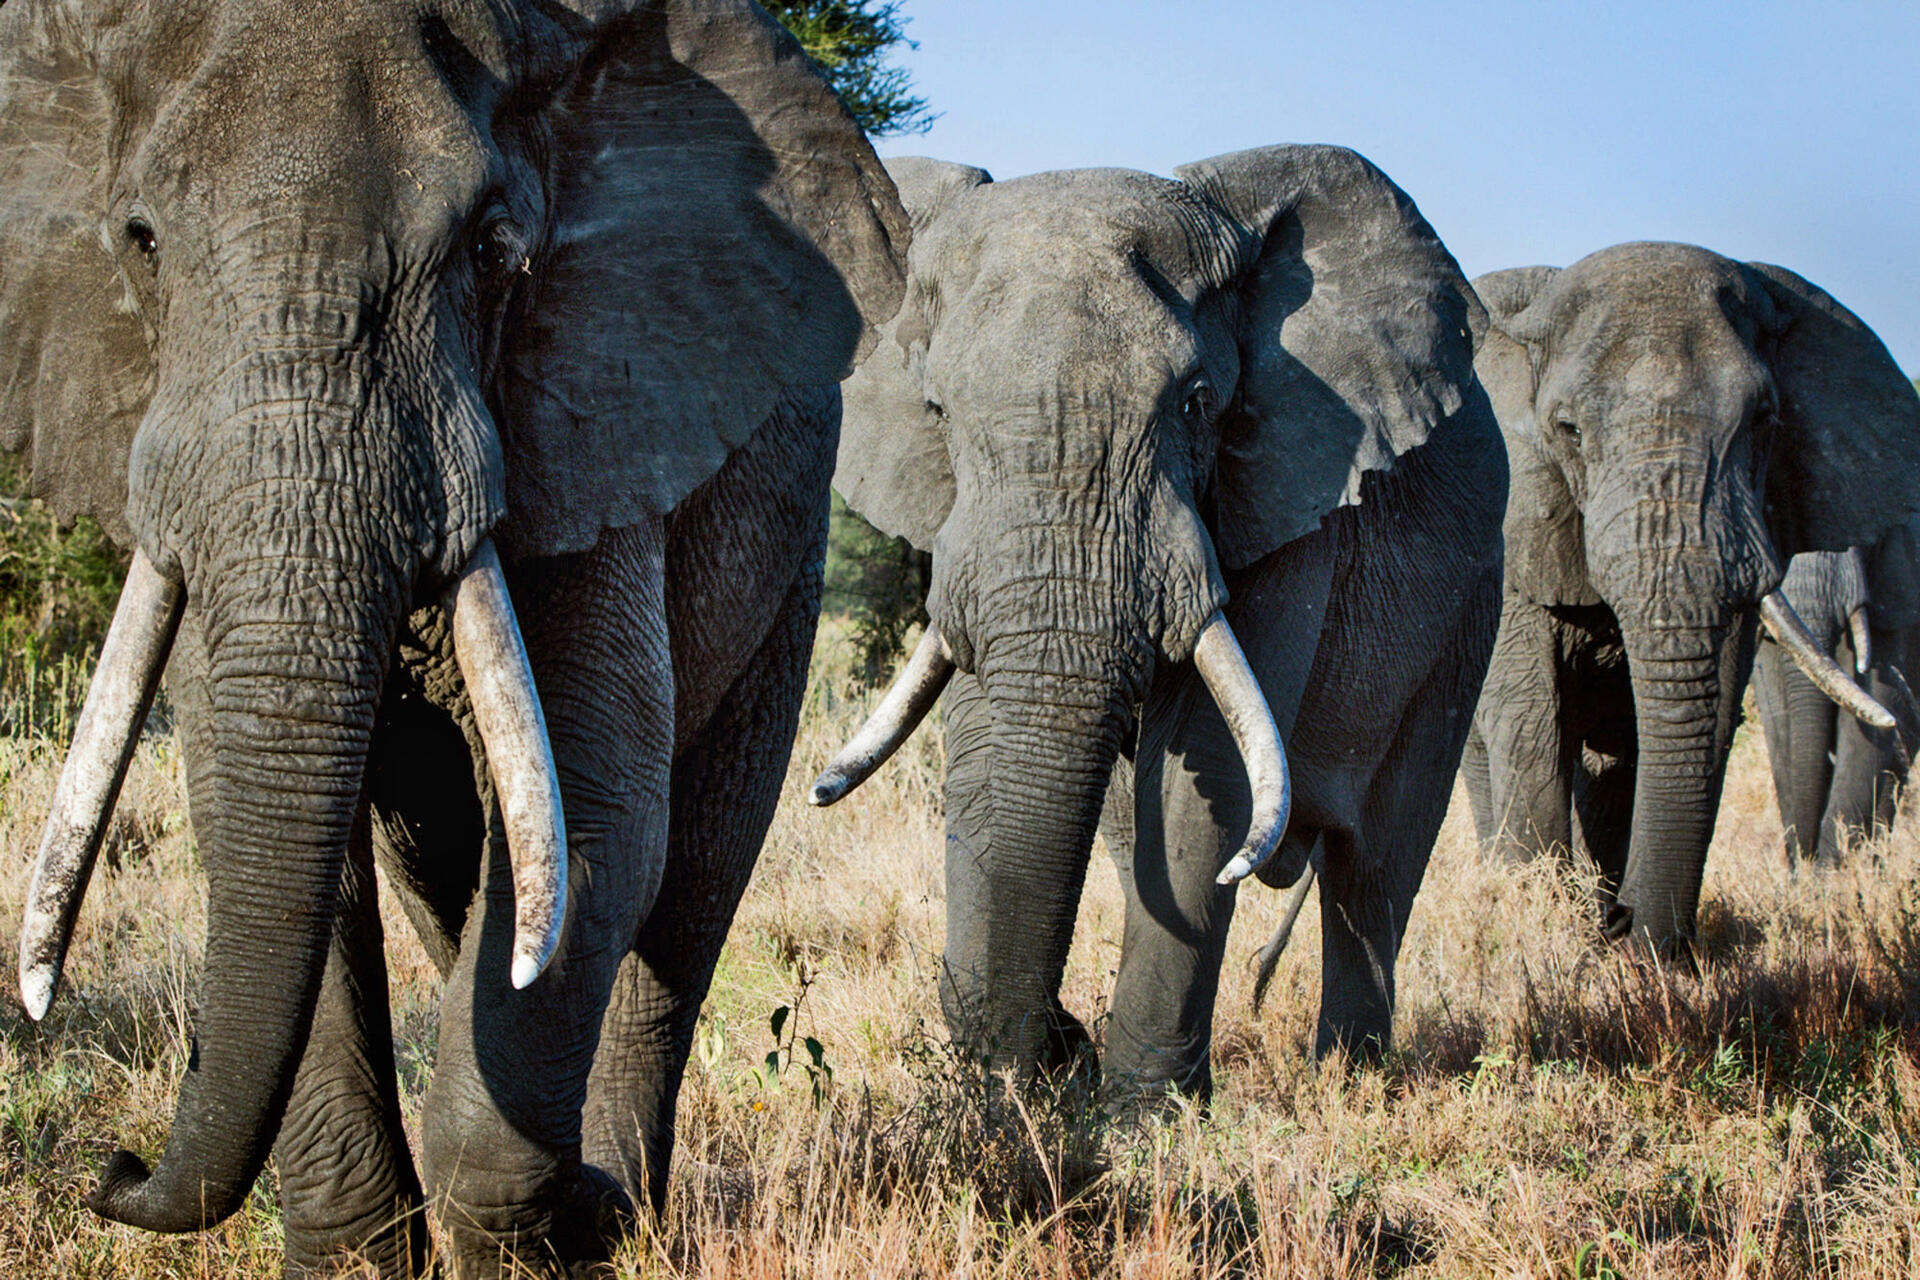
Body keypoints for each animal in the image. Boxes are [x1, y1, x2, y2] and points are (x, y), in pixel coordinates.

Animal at [0, 1, 906, 1274]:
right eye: (141, 243)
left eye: (491, 249)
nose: (113, 1169)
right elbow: (257, 828)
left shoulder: (594, 405)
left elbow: (599, 816)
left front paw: (544, 1223)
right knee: (448, 873)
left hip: (790, 557)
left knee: (686, 892)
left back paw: (618, 1209)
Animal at [810, 145, 1508, 1094]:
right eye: (937, 412)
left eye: (1195, 401)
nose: (1054, 1045)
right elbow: (990, 747)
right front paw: (1019, 1086)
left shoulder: (1288, 485)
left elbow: (1202, 769)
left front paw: (1144, 1112)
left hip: (1471, 607)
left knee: (1375, 867)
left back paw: (1349, 1080)